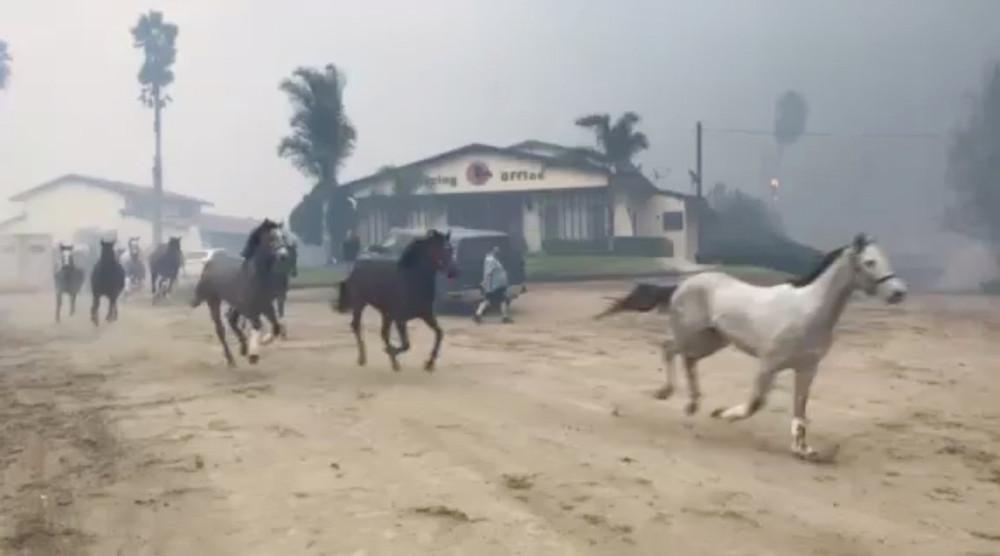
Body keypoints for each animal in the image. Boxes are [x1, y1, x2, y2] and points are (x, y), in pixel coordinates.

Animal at [191, 219, 290, 366]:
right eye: (271, 238)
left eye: (283, 237)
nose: (284, 255)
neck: (254, 276)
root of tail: (210, 262)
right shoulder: (249, 309)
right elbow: (258, 325)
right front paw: (253, 355)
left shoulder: (266, 306)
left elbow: (276, 326)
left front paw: (264, 341)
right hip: (213, 300)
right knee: (220, 328)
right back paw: (231, 359)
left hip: (235, 304)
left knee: (231, 318)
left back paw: (243, 348)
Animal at [335, 229, 457, 372]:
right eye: (441, 249)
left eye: (451, 249)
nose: (454, 272)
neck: (411, 280)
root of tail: (355, 269)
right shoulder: (400, 319)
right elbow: (406, 344)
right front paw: (391, 351)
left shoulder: (426, 314)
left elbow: (439, 333)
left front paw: (429, 363)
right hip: (359, 304)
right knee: (356, 326)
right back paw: (363, 359)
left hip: (385, 313)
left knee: (383, 333)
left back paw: (393, 362)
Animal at [596, 234, 907, 460]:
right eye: (869, 262)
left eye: (884, 258)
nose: (899, 293)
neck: (807, 311)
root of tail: (683, 285)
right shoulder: (768, 364)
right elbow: (756, 402)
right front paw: (722, 413)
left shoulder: (807, 368)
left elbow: (800, 408)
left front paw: (803, 449)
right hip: (691, 334)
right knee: (669, 348)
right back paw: (667, 393)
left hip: (712, 340)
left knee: (688, 359)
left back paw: (692, 403)